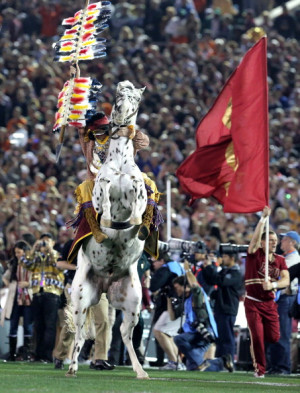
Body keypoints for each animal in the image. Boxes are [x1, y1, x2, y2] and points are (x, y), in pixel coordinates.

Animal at [67, 81, 149, 378]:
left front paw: (137, 229)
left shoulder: (138, 195)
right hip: (80, 298)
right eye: (117, 96)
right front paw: (107, 227)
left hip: (133, 303)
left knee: (125, 334)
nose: (121, 113)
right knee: (80, 335)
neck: (121, 164)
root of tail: (104, 285)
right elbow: (104, 213)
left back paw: (140, 370)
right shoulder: (103, 192)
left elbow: (136, 216)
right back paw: (72, 367)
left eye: (135, 98)